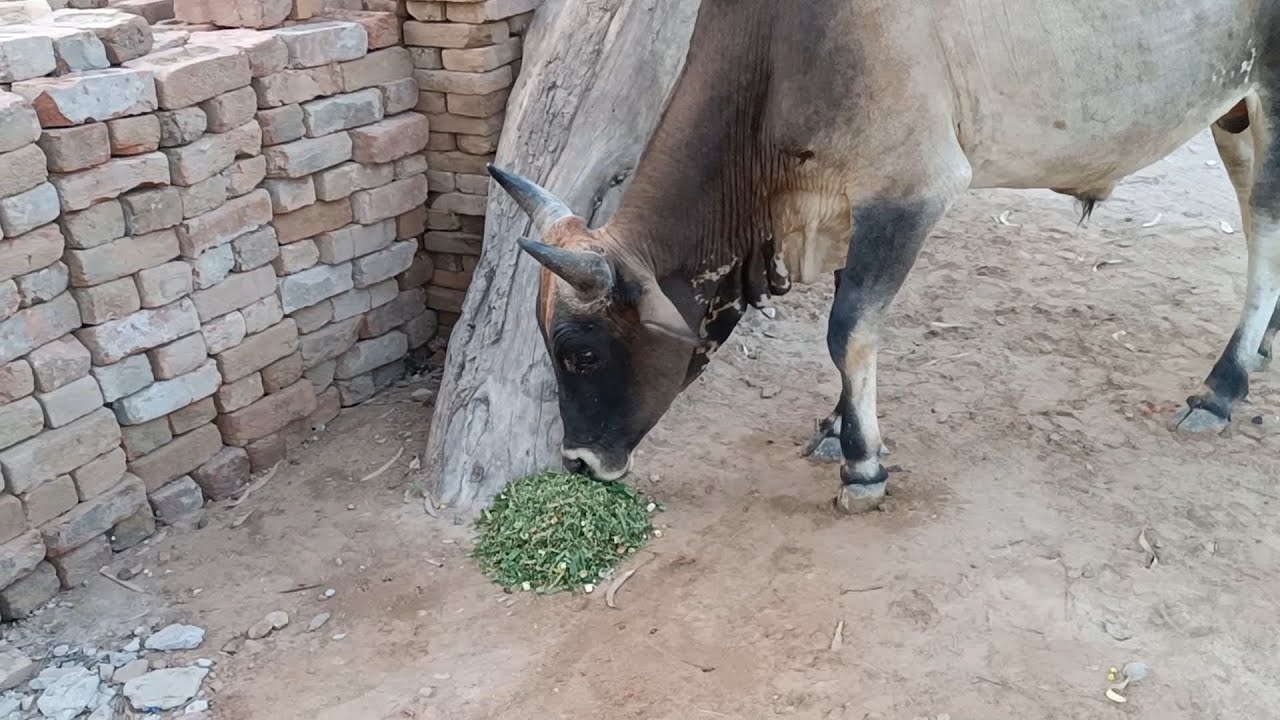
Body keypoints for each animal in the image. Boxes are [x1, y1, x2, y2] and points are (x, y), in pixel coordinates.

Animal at [486, 0, 1278, 513]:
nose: (578, 461)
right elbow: (848, 330)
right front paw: (838, 429)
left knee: (1263, 232)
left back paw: (1221, 387)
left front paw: (863, 466)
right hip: (1233, 112)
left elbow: (849, 330)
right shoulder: (849, 208)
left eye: (581, 351)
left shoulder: (910, 191)